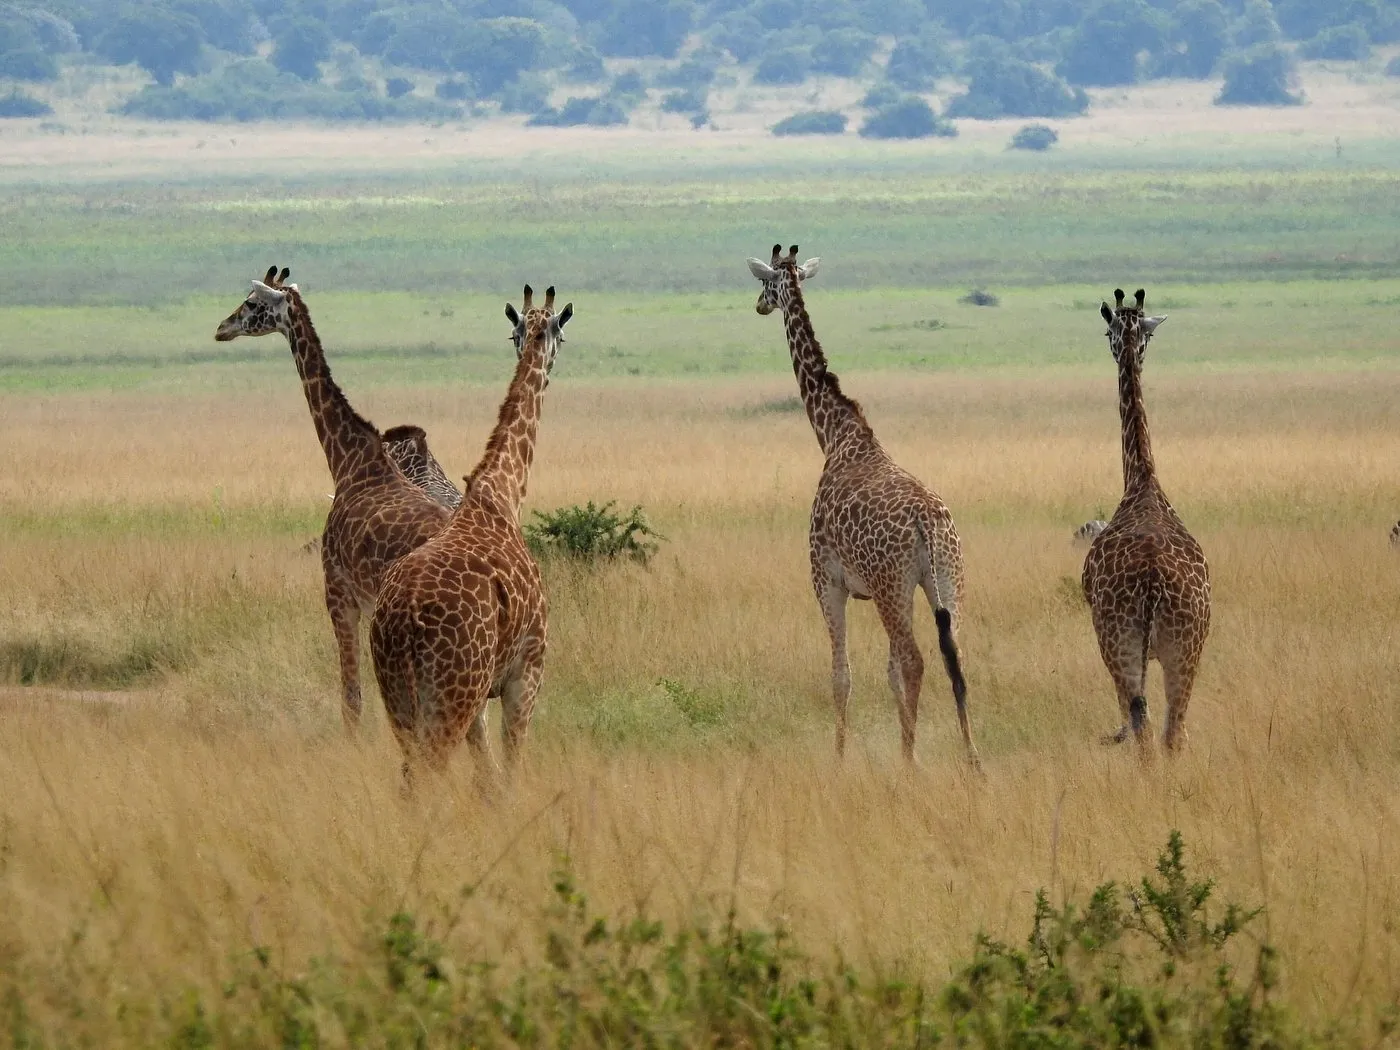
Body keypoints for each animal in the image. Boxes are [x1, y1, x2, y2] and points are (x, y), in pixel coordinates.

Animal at [370, 284, 573, 787]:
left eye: (519, 331)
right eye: (562, 333)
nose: (552, 357)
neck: (502, 494)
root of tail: (403, 620)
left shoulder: (482, 696)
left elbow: (487, 779)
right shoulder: (527, 670)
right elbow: (508, 771)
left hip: (398, 692)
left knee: (409, 774)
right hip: (452, 689)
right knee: (427, 773)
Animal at [746, 245, 978, 766]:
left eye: (766, 282)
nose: (759, 305)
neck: (835, 435)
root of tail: (928, 524)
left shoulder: (827, 581)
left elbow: (842, 676)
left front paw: (839, 759)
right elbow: (886, 677)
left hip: (894, 586)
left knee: (916, 661)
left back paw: (912, 762)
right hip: (946, 580)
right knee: (955, 659)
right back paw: (971, 758)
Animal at [1082, 288, 1210, 754]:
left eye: (1107, 331)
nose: (1119, 345)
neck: (1143, 480)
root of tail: (1154, 583)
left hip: (1118, 640)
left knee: (1143, 722)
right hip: (1186, 646)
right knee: (1174, 728)